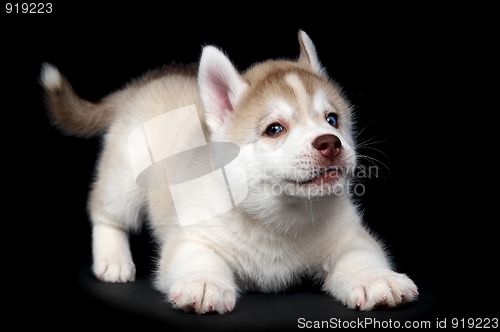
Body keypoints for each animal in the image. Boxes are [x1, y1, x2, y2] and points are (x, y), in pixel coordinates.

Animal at [41, 30, 418, 314]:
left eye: (332, 120)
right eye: (275, 129)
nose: (330, 143)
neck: (277, 220)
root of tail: (146, 83)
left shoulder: (350, 237)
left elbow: (361, 256)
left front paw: (376, 279)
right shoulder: (191, 237)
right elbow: (199, 258)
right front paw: (204, 284)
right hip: (123, 178)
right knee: (107, 214)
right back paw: (113, 260)